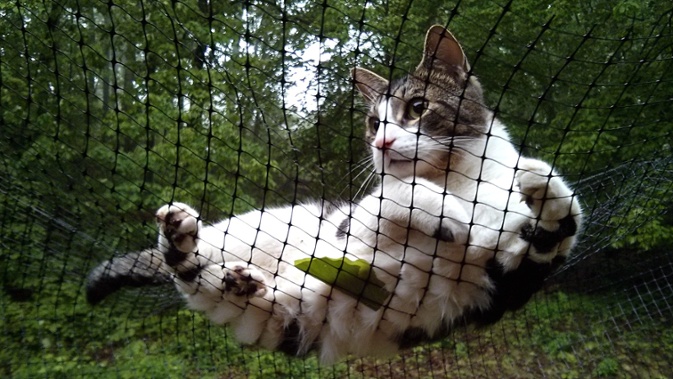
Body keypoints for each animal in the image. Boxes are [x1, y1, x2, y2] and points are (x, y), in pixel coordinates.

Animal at [88, 26, 584, 366]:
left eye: (417, 107)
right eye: (374, 122)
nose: (381, 143)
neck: (457, 180)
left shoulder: (512, 277)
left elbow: (561, 223)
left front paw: (540, 183)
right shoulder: (356, 232)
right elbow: (395, 193)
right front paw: (445, 210)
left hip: (272, 314)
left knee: (214, 283)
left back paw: (240, 279)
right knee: (184, 267)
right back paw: (181, 232)